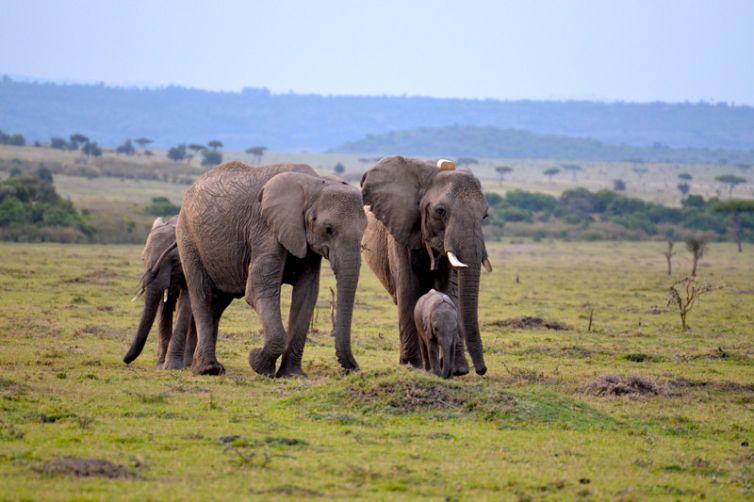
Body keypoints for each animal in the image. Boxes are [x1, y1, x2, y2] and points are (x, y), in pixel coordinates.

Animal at [123, 216, 197, 369]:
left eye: (174, 260)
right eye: (143, 259)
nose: (125, 360)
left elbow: (186, 304)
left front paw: (172, 367)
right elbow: (163, 307)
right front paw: (161, 364)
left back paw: (188, 363)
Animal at [176, 161, 367, 377]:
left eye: (365, 229)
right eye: (328, 229)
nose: (355, 369)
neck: (315, 182)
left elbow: (306, 294)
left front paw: (292, 375)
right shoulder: (264, 228)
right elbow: (259, 289)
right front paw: (258, 364)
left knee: (217, 303)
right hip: (188, 237)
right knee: (203, 296)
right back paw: (208, 370)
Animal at [361, 156, 492, 376]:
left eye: (485, 216)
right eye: (440, 211)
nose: (481, 370)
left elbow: (451, 290)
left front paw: (458, 370)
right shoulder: (400, 228)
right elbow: (408, 288)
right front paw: (413, 365)